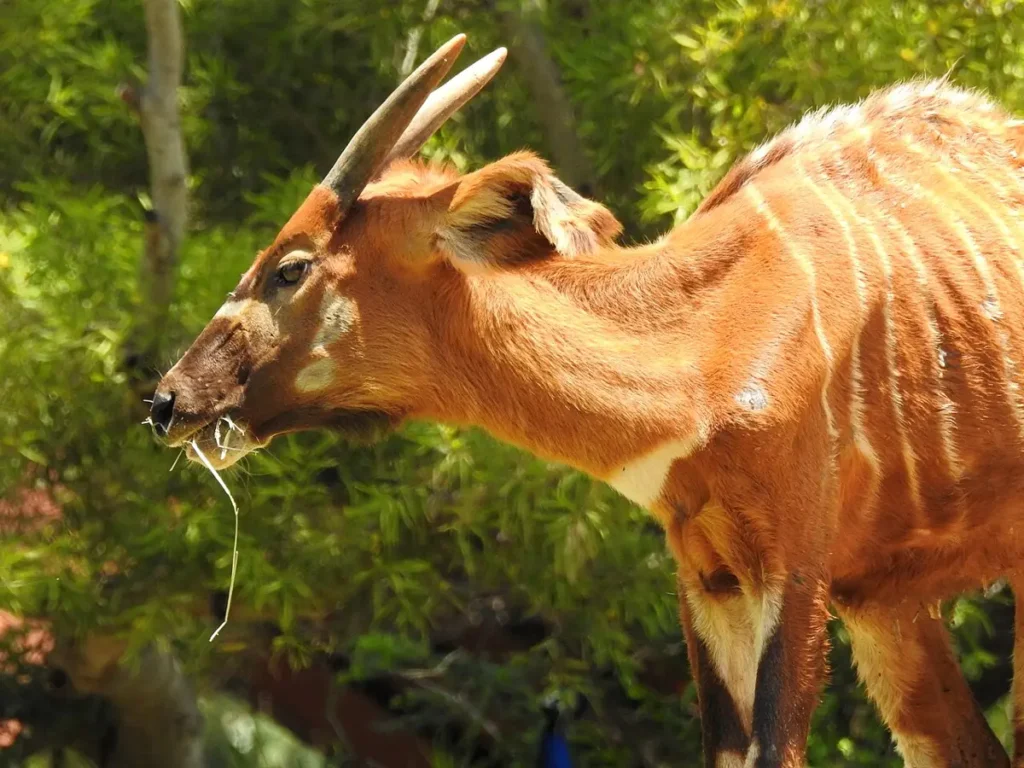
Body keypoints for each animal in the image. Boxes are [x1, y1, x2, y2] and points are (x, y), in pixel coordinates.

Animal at [149, 32, 1024, 767]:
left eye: (291, 267)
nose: (167, 401)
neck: (711, 344)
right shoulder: (714, 580)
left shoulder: (796, 573)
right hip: (888, 609)